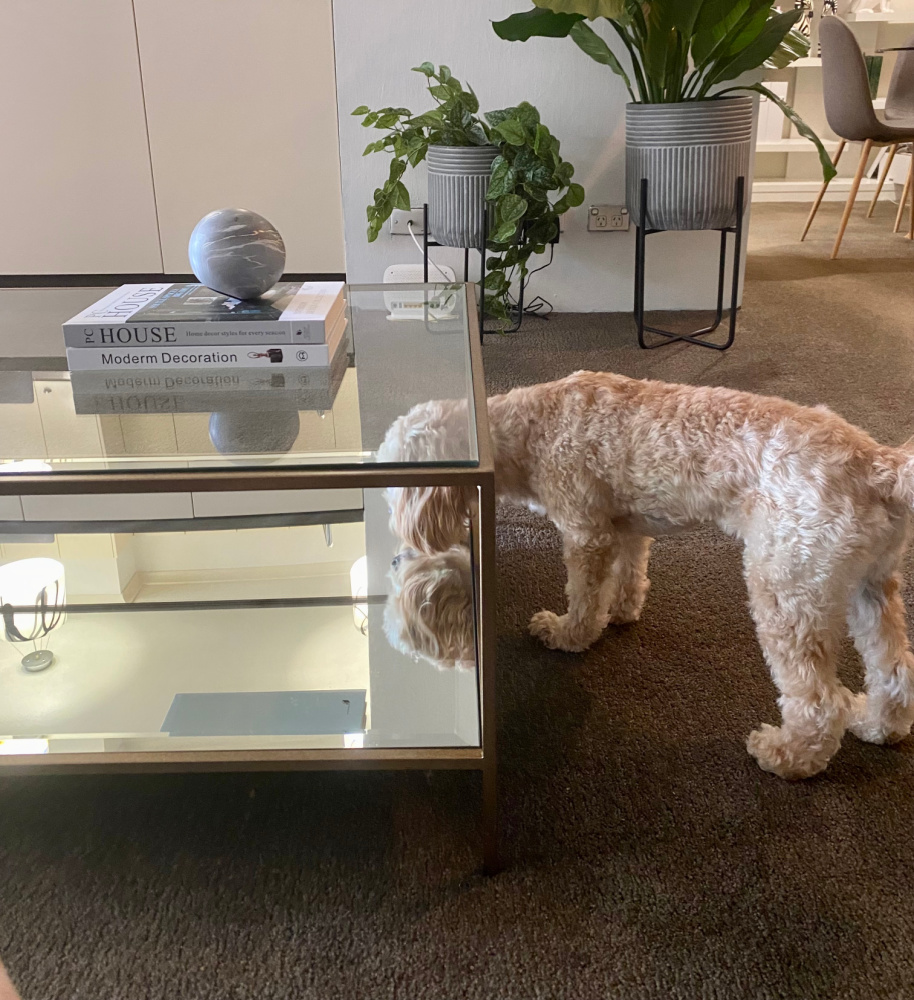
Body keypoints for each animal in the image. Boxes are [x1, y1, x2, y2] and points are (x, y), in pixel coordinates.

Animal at [376, 374, 912, 780]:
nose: (394, 547)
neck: (530, 430)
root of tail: (878, 464)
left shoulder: (586, 532)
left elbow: (583, 596)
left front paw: (569, 634)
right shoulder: (627, 527)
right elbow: (629, 573)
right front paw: (622, 611)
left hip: (787, 591)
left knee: (819, 702)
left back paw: (788, 757)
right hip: (869, 586)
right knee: (895, 670)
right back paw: (877, 726)